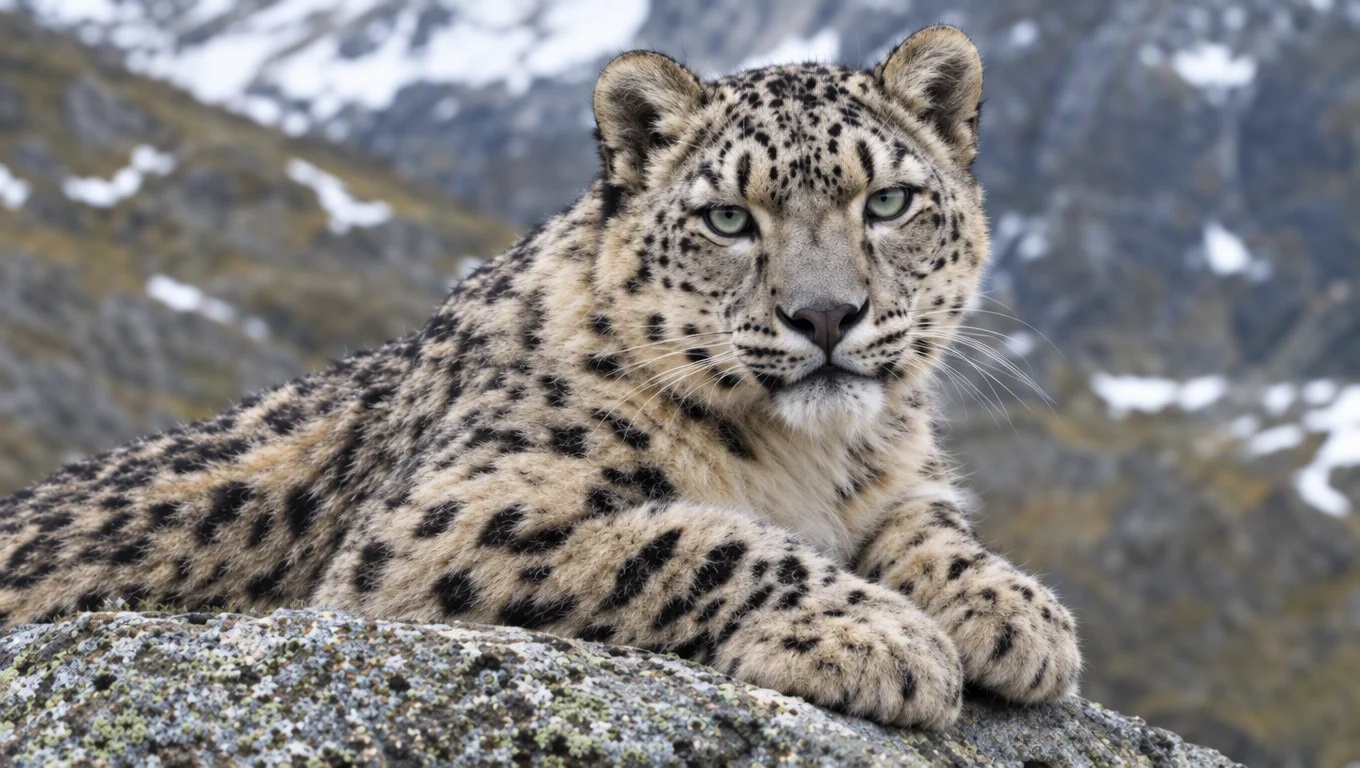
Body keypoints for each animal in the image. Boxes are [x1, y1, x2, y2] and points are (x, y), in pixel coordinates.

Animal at [0, 26, 1080, 729]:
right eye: (729, 218)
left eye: (888, 201)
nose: (823, 316)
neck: (807, 456)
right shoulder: (456, 515)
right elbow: (700, 541)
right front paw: (881, 638)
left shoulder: (894, 483)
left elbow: (931, 529)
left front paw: (1021, 616)